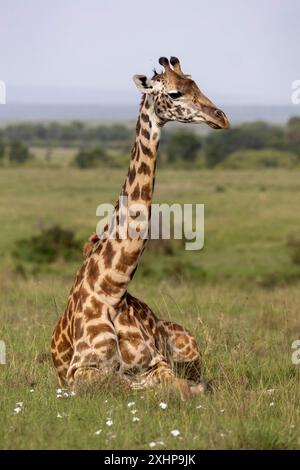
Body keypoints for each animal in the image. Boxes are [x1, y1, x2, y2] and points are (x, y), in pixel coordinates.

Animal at [51, 57, 230, 398]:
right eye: (174, 93)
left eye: (196, 85)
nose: (221, 117)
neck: (112, 291)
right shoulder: (80, 371)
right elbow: (122, 384)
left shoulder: (155, 363)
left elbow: (181, 386)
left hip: (188, 345)